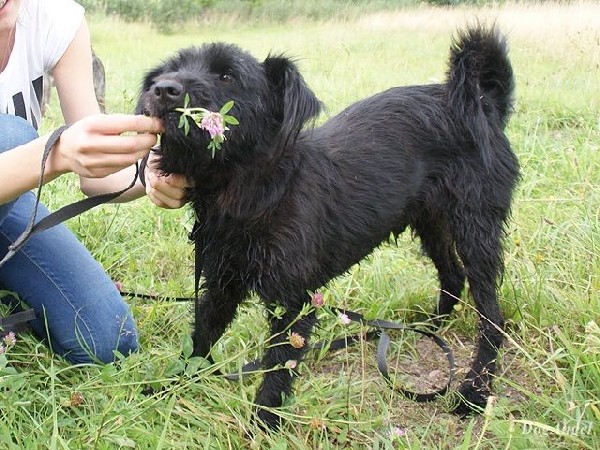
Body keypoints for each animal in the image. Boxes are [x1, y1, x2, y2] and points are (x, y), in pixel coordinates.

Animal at [138, 24, 516, 428]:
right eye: (169, 70)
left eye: (227, 76)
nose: (163, 89)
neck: (255, 189)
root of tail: (485, 105)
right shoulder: (222, 285)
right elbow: (200, 339)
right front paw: (167, 388)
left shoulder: (294, 303)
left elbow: (278, 367)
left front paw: (264, 421)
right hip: (431, 221)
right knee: (452, 275)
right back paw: (428, 329)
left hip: (476, 229)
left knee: (492, 316)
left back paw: (475, 391)